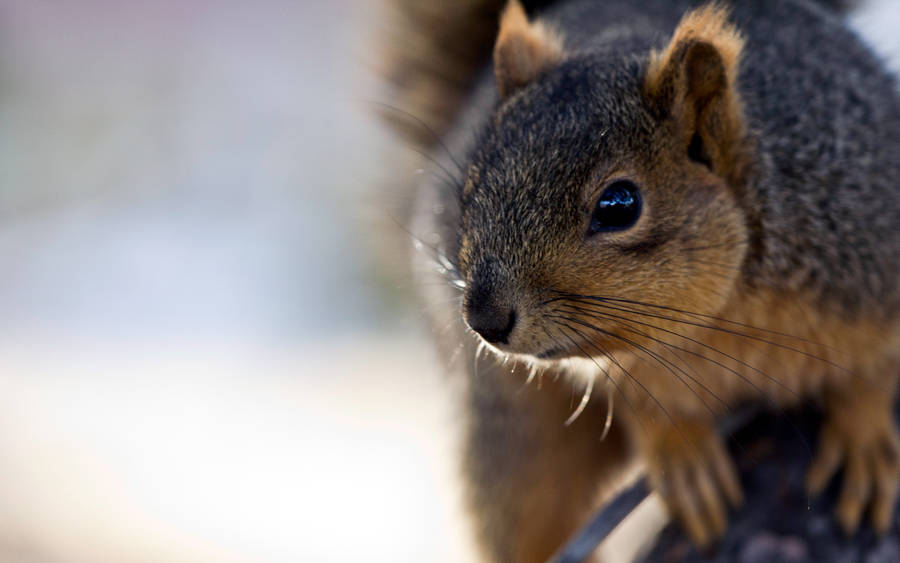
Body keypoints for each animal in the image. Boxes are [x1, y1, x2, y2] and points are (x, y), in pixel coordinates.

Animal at [380, 0, 900, 560]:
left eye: (619, 204)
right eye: (470, 189)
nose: (485, 319)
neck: (720, 321)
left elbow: (875, 367)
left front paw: (864, 432)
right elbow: (640, 405)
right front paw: (680, 451)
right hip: (516, 429)